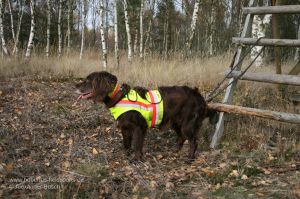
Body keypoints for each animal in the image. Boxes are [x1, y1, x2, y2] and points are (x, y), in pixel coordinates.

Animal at [74, 71, 217, 162]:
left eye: (88, 80)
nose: (75, 85)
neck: (119, 97)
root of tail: (199, 97)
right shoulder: (125, 127)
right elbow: (126, 143)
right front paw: (127, 155)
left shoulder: (139, 127)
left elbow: (137, 144)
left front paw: (137, 159)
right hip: (176, 122)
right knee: (181, 137)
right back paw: (176, 151)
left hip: (187, 123)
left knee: (193, 141)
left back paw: (189, 158)